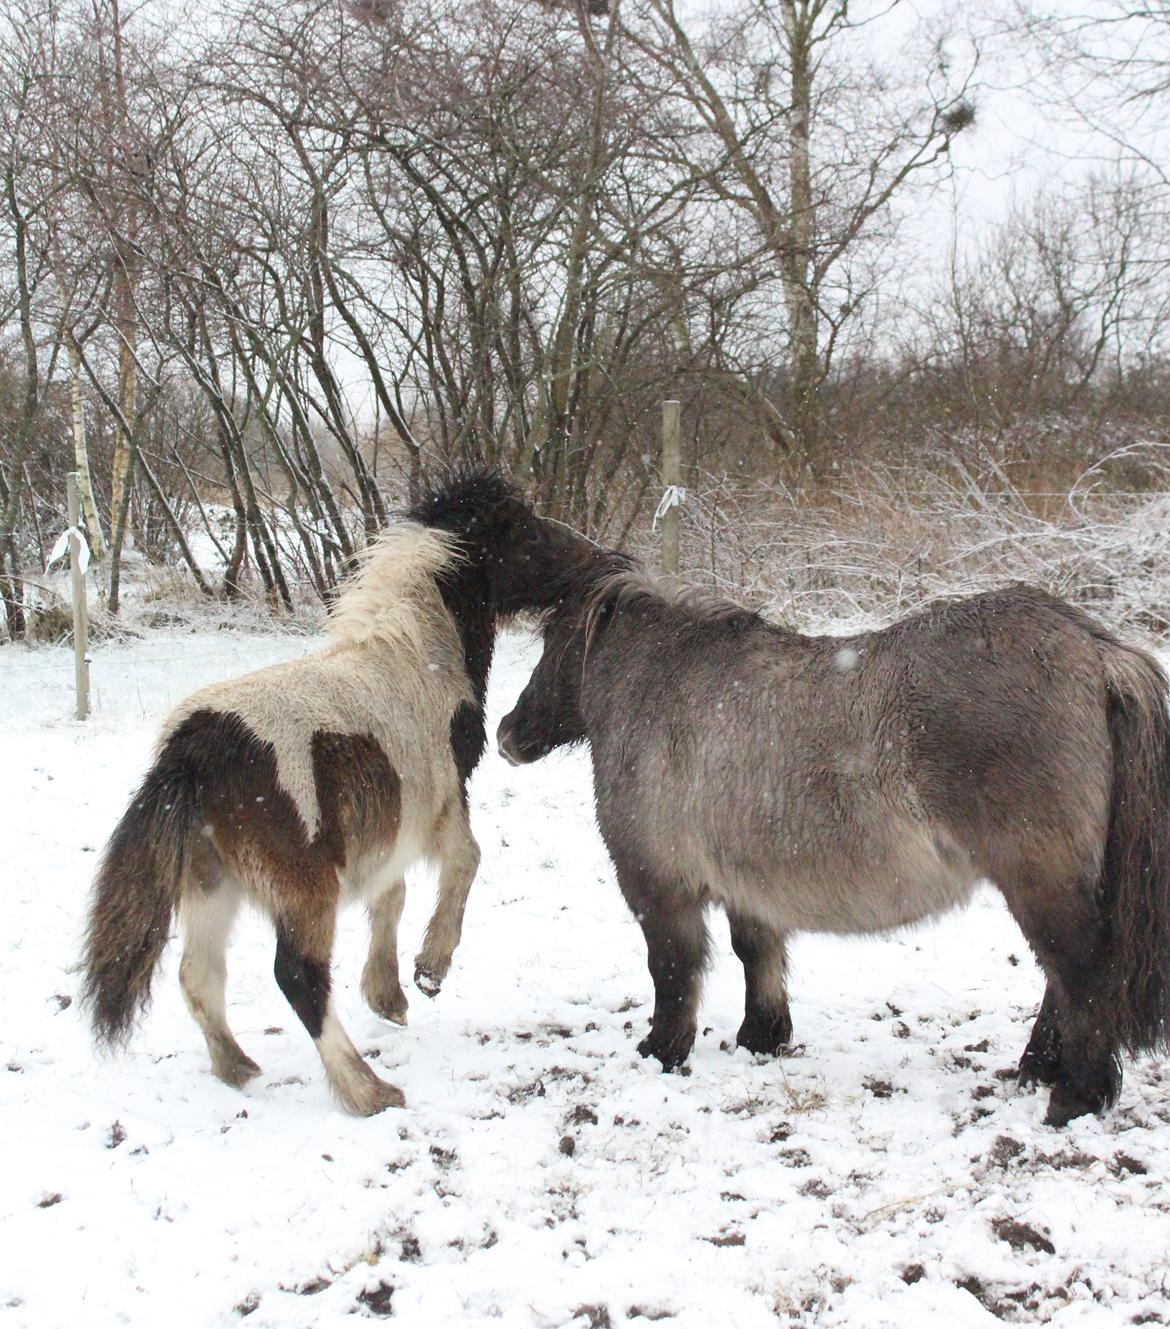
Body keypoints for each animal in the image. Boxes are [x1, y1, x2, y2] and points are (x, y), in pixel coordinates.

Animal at [84, 473, 585, 1116]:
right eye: (526, 531)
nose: (591, 558)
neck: (417, 660)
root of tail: (188, 755)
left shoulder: (396, 820)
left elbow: (390, 894)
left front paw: (388, 994)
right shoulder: (443, 801)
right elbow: (465, 863)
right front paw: (429, 969)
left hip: (210, 880)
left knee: (199, 975)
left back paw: (237, 1067)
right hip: (304, 889)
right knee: (298, 975)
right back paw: (365, 1089)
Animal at [497, 555, 1170, 1126]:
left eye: (555, 644)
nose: (506, 734)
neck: (665, 688)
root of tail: (1097, 652)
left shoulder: (656, 885)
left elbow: (673, 968)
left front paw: (662, 1049)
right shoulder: (747, 883)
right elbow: (757, 954)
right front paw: (763, 1037)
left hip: (1041, 883)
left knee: (1081, 975)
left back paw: (1074, 1096)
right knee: (1061, 980)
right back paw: (1036, 1070)